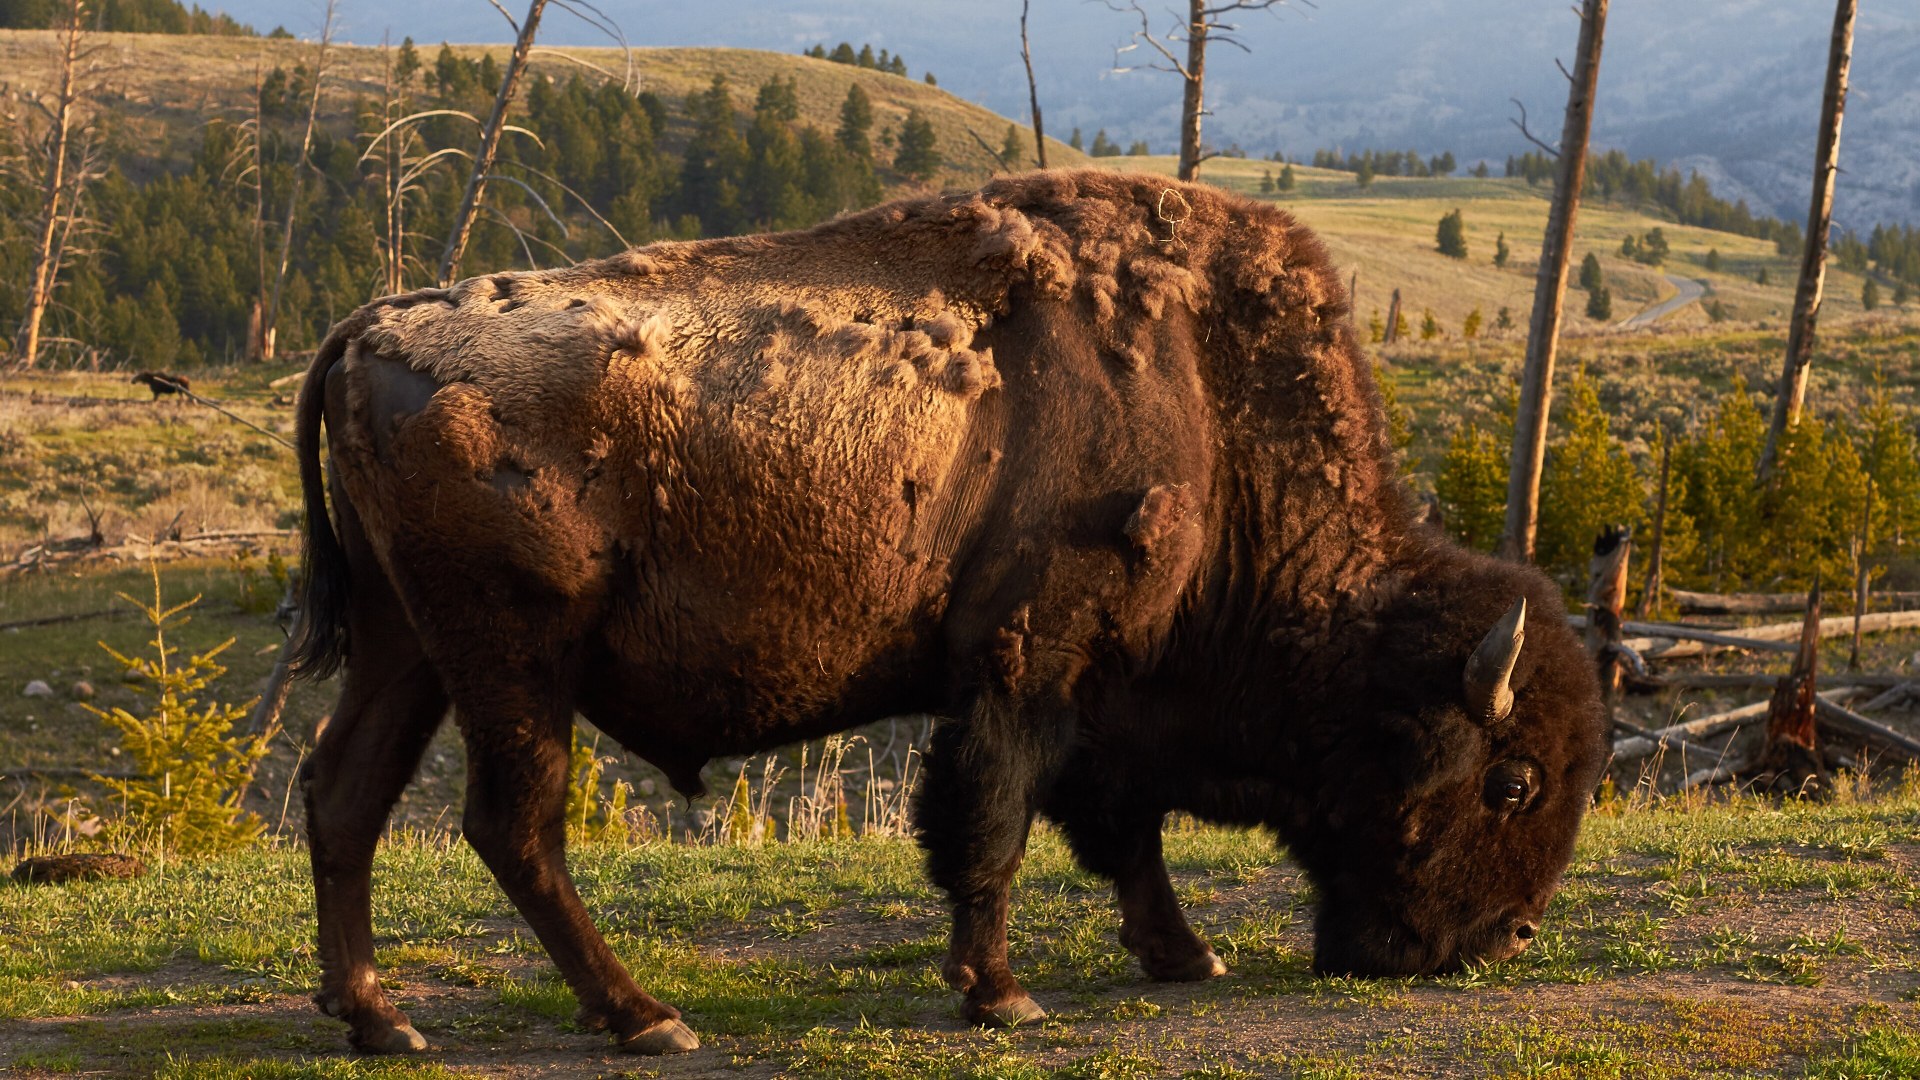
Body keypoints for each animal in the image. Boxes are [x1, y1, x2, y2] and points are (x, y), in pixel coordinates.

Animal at [289, 169, 1606, 1056]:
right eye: (1513, 781)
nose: (1503, 941)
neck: (1206, 403)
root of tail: (371, 326)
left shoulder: (1100, 692)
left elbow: (1119, 829)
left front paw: (1186, 955)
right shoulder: (1029, 662)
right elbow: (997, 822)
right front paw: (1001, 994)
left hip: (407, 649)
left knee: (345, 793)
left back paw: (379, 1022)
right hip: (515, 659)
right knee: (513, 823)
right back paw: (646, 1019)